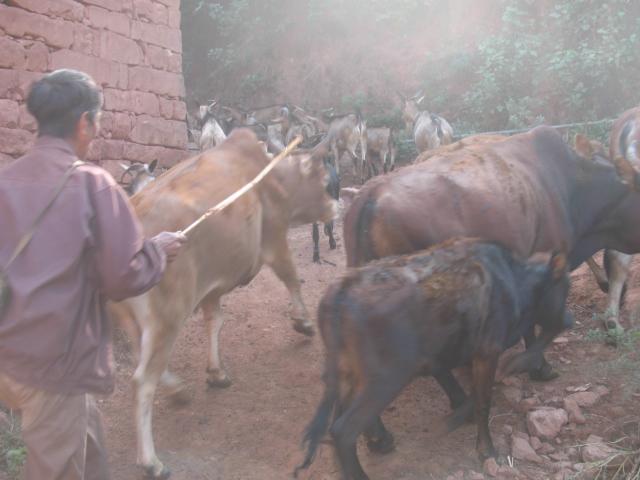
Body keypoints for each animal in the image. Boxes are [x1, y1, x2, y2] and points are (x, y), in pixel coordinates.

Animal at [109, 129, 340, 478]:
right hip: (168, 315)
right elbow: (292, 278)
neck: (272, 176)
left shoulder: (212, 286)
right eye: (326, 181)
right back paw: (151, 461)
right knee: (142, 381)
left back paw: (178, 389)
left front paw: (216, 372)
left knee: (144, 361)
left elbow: (215, 321)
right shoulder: (274, 239)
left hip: (132, 319)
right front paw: (303, 323)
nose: (338, 206)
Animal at [298, 238, 572, 478]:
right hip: (386, 379)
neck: (514, 281)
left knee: (337, 419)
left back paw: (378, 442)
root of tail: (340, 292)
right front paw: (486, 450)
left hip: (349, 372)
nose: (568, 320)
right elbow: (483, 401)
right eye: (565, 288)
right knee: (342, 430)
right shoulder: (487, 352)